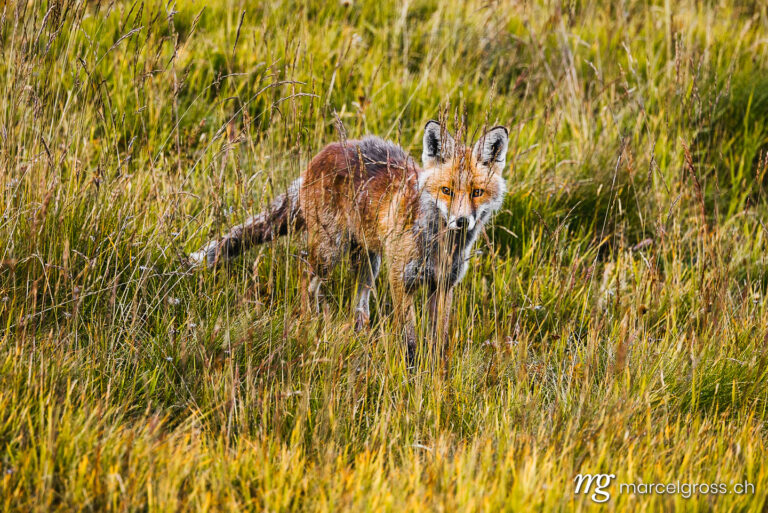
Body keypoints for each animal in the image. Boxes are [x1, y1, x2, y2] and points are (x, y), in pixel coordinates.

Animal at [189, 121, 508, 360]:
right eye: (447, 190)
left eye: (477, 192)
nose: (462, 221)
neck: (439, 247)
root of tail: (325, 152)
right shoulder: (401, 280)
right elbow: (409, 340)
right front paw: (412, 374)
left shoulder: (442, 286)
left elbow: (437, 340)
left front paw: (435, 375)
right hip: (330, 252)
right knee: (306, 278)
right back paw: (310, 323)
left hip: (369, 263)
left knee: (359, 304)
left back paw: (359, 333)